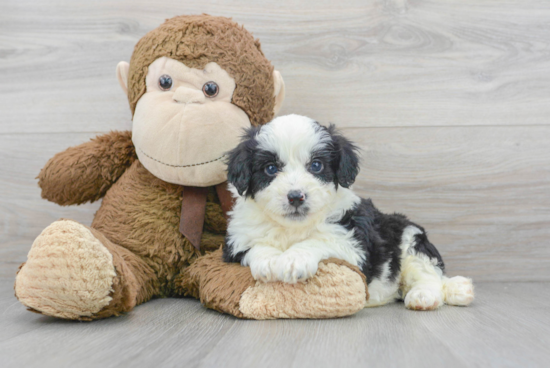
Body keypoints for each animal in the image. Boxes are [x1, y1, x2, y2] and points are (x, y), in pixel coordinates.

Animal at [223, 115, 474, 310]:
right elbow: (254, 246)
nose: (295, 196)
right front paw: (268, 261)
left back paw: (424, 296)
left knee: (429, 276)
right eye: (270, 169)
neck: (293, 228)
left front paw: (294, 260)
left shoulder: (353, 245)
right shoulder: (234, 243)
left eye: (316, 166)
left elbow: (319, 240)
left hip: (410, 238)